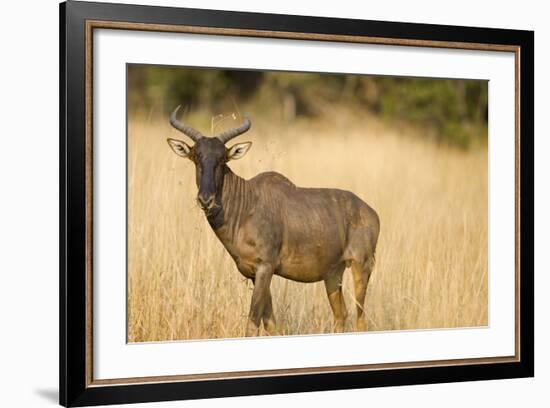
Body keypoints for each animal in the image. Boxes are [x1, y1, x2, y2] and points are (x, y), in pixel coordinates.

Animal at [168, 107, 382, 336]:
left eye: (222, 159)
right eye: (195, 157)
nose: (205, 199)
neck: (247, 203)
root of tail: (372, 213)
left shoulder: (265, 267)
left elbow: (253, 322)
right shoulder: (255, 273)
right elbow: (270, 323)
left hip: (361, 266)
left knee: (360, 318)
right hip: (333, 274)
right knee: (341, 314)